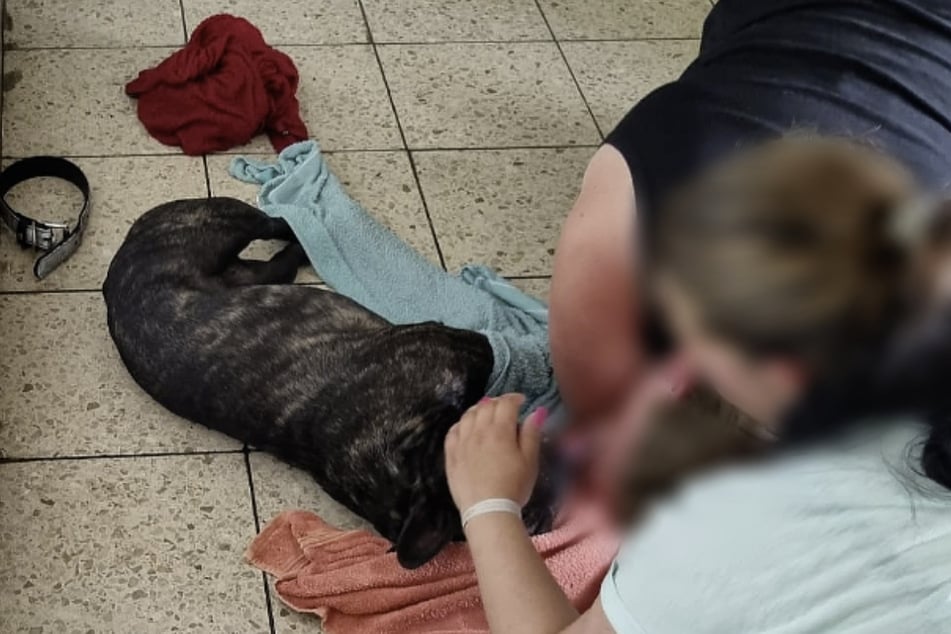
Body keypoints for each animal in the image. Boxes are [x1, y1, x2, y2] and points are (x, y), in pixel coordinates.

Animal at [102, 195, 564, 564]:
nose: (546, 511)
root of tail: (112, 281)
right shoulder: (461, 344)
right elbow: (503, 350)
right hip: (219, 223)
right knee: (268, 221)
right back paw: (304, 218)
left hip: (253, 275)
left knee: (278, 259)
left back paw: (305, 240)